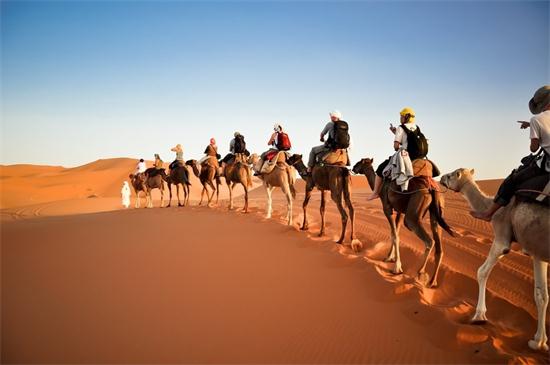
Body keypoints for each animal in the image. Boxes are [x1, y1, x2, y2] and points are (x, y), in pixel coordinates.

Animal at [354, 158, 458, 286]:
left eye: (360, 162)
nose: (353, 167)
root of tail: (431, 188)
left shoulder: (387, 208)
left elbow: (394, 234)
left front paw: (397, 268)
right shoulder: (399, 211)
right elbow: (395, 232)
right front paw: (390, 258)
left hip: (413, 214)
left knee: (428, 240)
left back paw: (420, 272)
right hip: (436, 211)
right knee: (439, 246)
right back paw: (432, 282)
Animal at [442, 167, 548, 350]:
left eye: (450, 176)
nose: (441, 177)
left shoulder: (502, 238)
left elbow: (481, 272)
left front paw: (479, 316)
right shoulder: (537, 250)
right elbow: (542, 295)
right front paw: (539, 341)